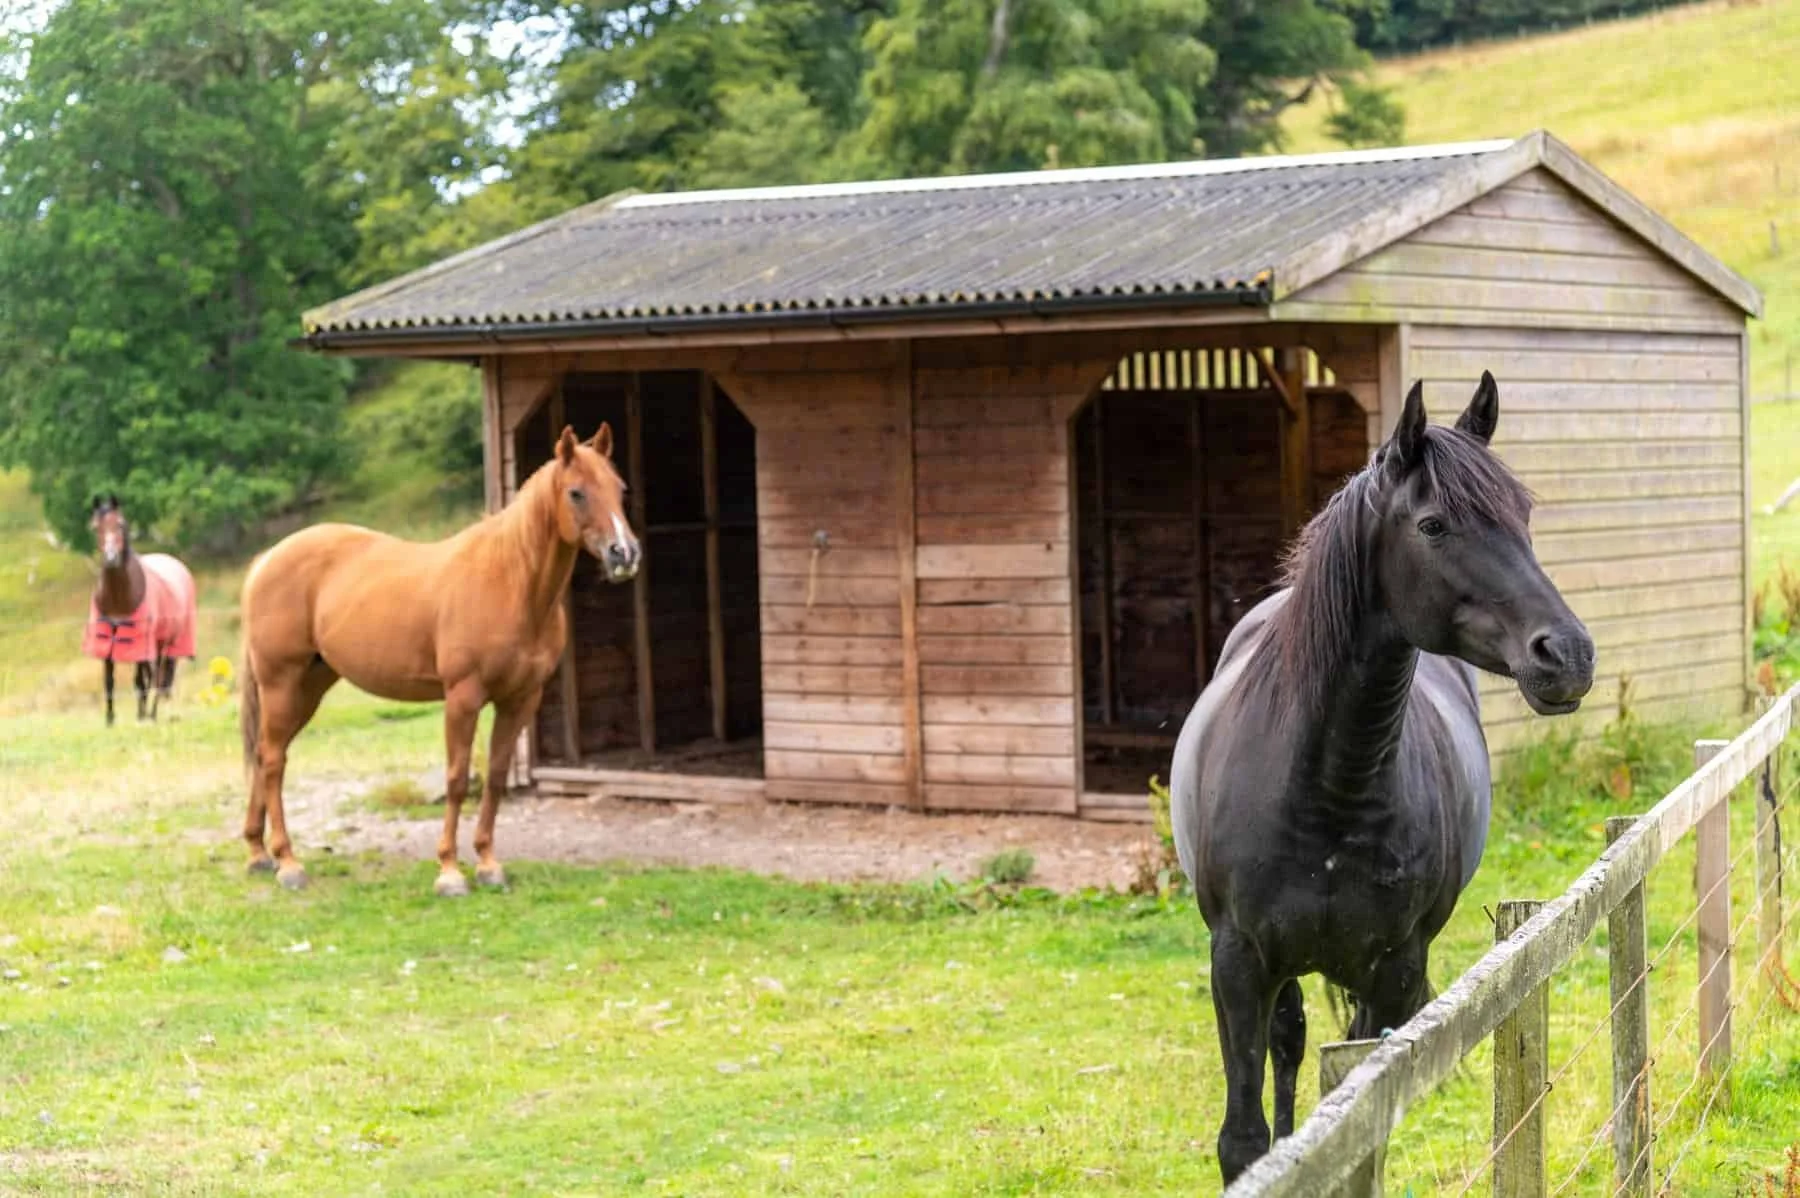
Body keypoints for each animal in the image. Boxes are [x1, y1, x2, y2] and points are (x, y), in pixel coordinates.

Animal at [83, 494, 198, 725]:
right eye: (96, 527)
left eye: (120, 524)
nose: (111, 558)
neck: (119, 597)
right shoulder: (107, 639)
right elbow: (109, 680)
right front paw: (110, 719)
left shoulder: (139, 641)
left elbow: (140, 681)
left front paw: (141, 716)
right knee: (154, 676)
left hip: (165, 642)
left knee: (159, 676)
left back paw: (151, 713)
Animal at [238, 424, 640, 896]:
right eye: (576, 492)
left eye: (619, 488)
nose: (624, 553)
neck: (511, 583)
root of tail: (266, 559)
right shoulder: (462, 698)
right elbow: (457, 778)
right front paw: (449, 871)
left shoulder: (520, 700)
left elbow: (497, 776)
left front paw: (487, 863)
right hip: (281, 683)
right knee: (273, 761)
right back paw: (288, 862)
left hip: (308, 687)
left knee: (266, 754)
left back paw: (258, 853)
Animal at [1169, 373, 1596, 1185]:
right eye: (1433, 526)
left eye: (1522, 515)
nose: (1568, 654)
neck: (1328, 789)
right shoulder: (1237, 962)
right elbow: (1244, 1140)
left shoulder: (1393, 971)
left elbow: (1360, 1125)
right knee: (1289, 1044)